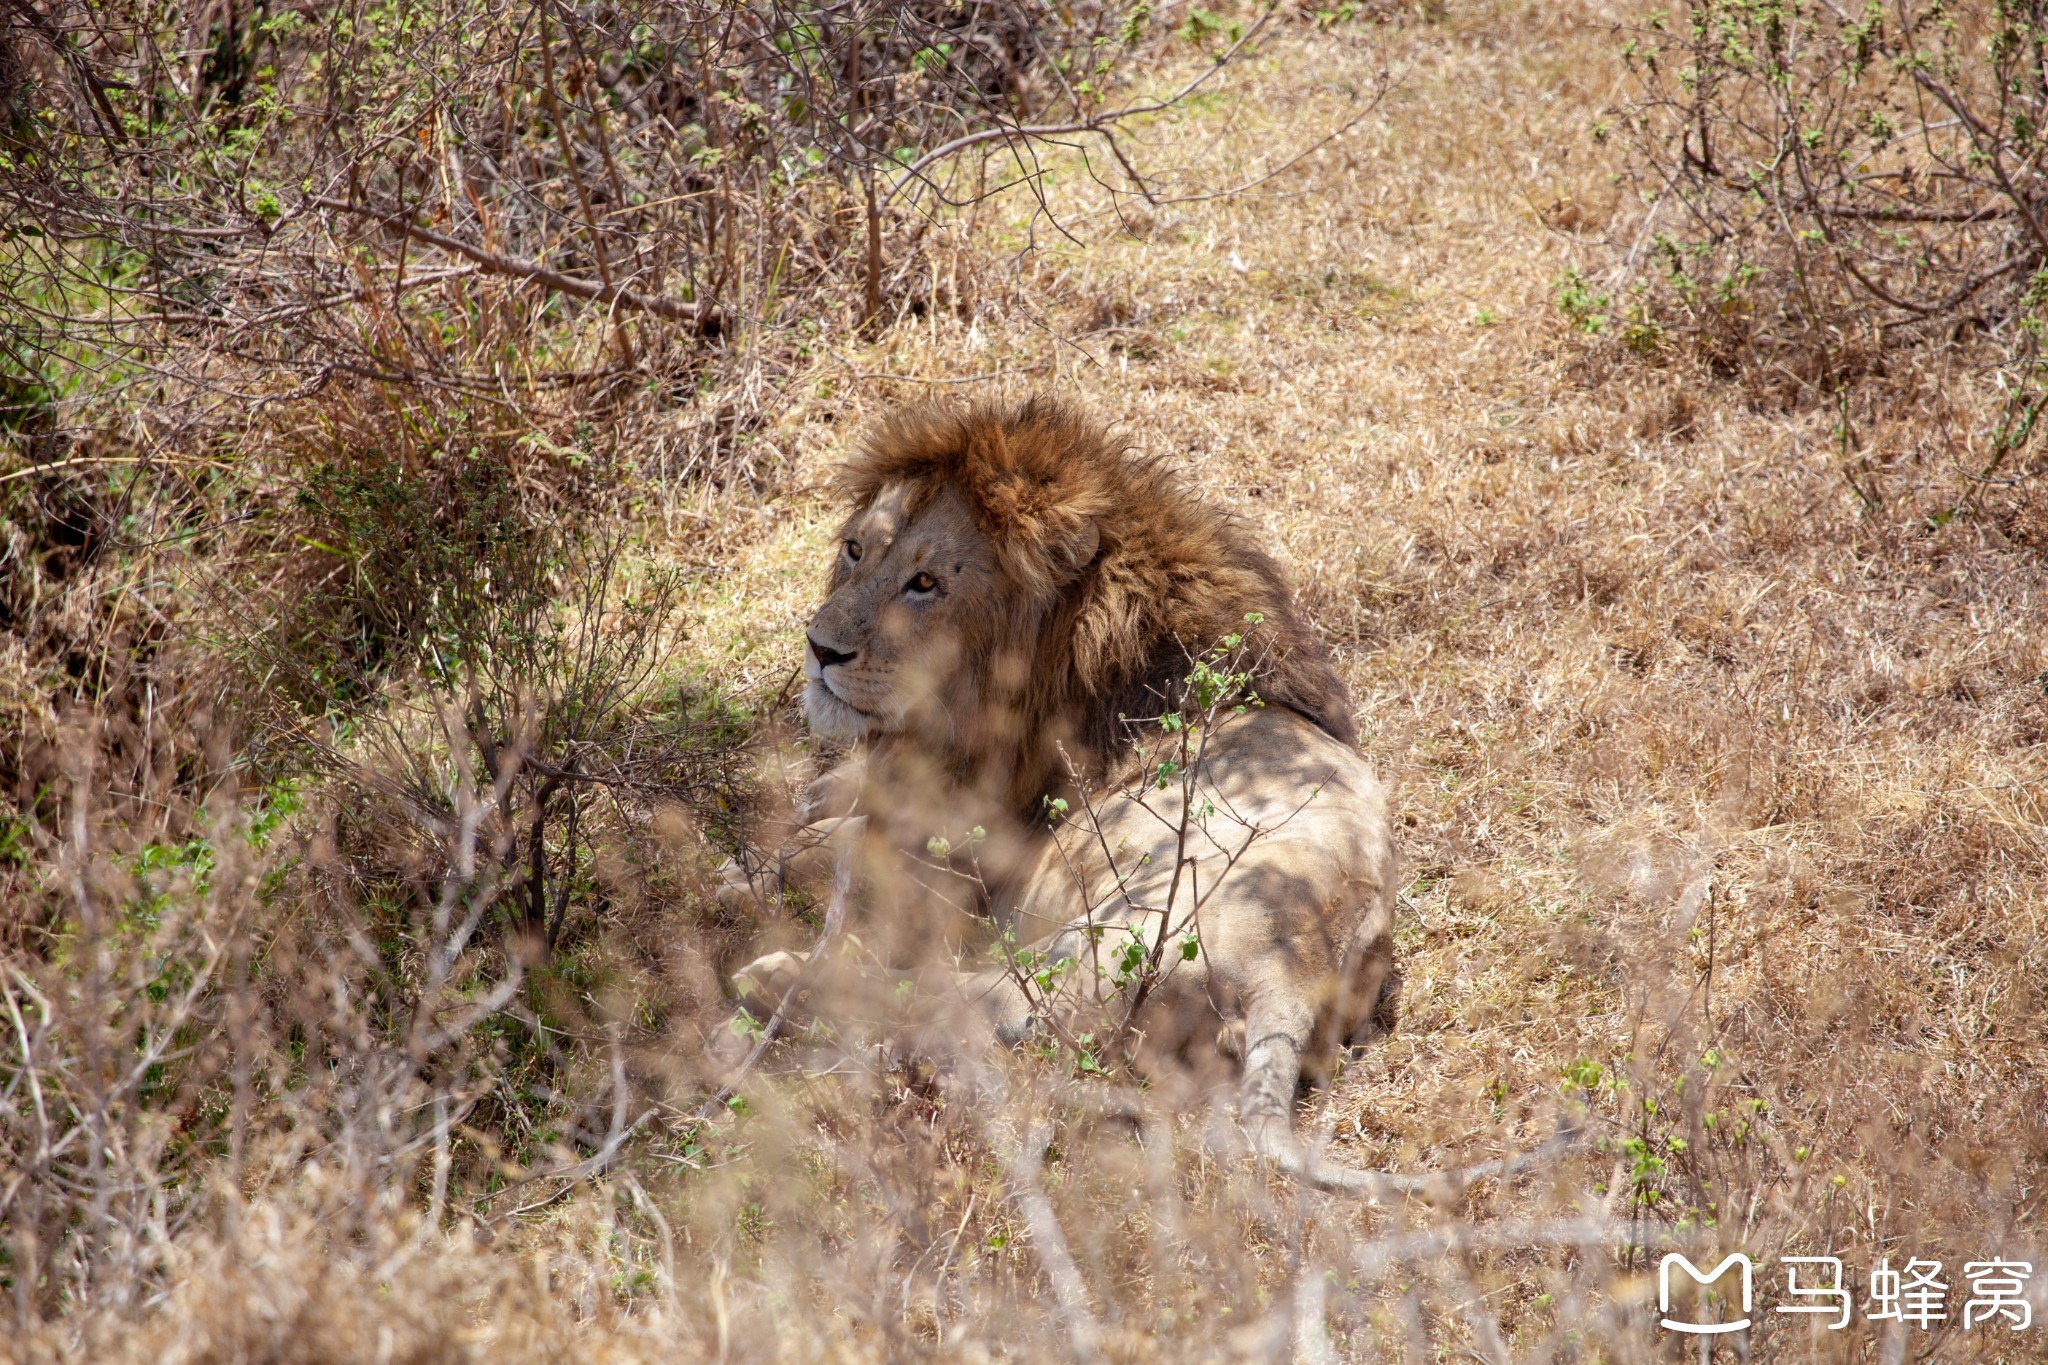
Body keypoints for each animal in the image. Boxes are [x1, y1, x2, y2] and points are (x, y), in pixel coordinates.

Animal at [720, 397, 1540, 1195]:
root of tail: (1294, 972)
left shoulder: (963, 853)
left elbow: (824, 850)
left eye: (926, 583)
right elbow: (816, 805)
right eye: (855, 550)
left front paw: (735, 877)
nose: (820, 649)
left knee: (963, 1001)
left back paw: (772, 981)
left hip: (1108, 933)